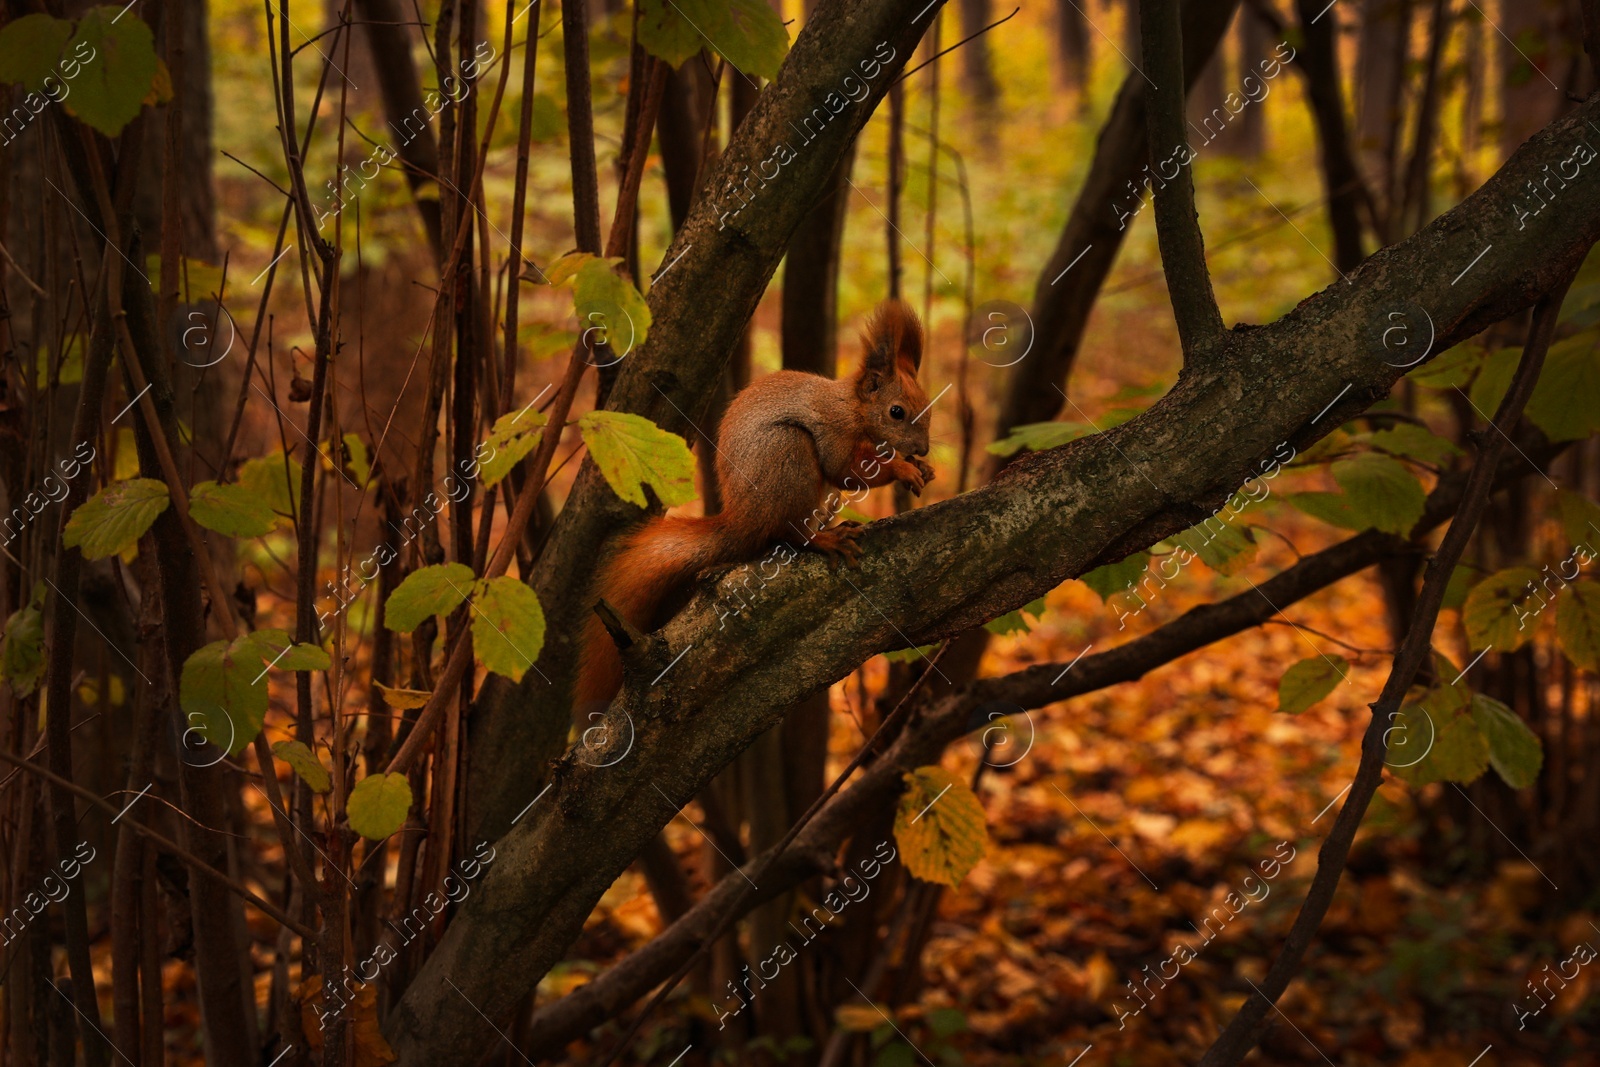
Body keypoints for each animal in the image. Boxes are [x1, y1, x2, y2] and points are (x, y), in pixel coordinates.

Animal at [574, 299, 935, 714]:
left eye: (927, 406)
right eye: (896, 411)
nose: (923, 448)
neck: (854, 407)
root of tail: (741, 521)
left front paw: (922, 468)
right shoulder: (835, 431)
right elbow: (846, 471)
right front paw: (903, 468)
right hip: (789, 455)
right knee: (790, 533)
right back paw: (825, 539)